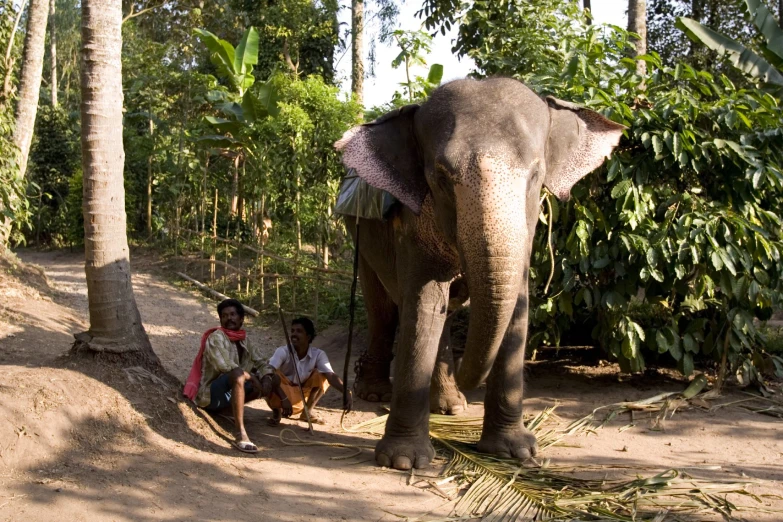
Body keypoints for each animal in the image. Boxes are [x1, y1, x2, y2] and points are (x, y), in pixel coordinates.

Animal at [336, 76, 624, 468]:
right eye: (441, 177)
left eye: (536, 175)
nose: (467, 374)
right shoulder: (412, 223)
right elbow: (424, 304)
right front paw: (404, 462)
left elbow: (516, 307)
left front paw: (516, 452)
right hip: (361, 233)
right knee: (383, 309)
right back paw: (376, 393)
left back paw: (450, 406)